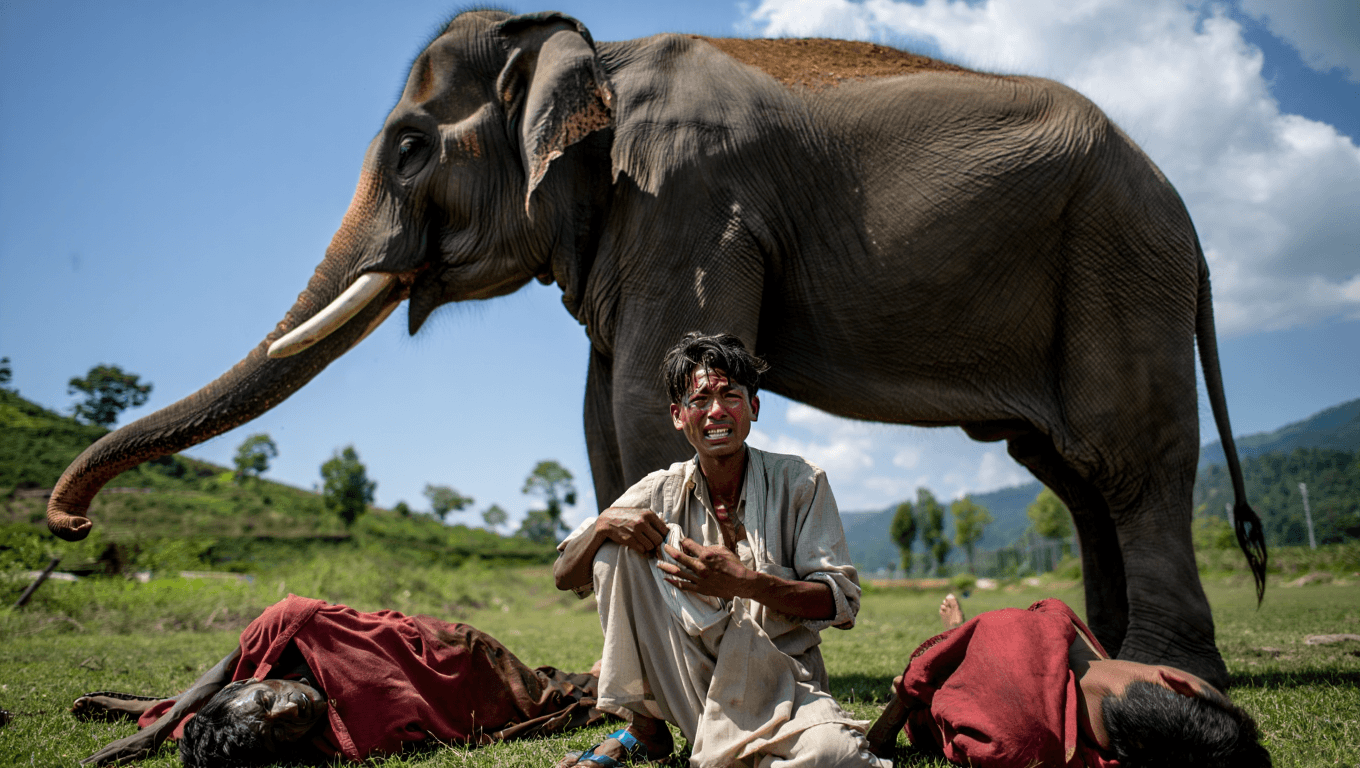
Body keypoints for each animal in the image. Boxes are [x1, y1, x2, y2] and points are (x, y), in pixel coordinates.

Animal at [46, 10, 1266, 690]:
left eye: (407, 148)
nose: (68, 523)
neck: (587, 49)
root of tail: (1192, 218)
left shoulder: (691, 200)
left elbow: (639, 400)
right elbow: (602, 421)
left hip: (1117, 267)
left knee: (1125, 460)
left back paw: (1162, 671)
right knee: (1065, 472)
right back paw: (1103, 655)